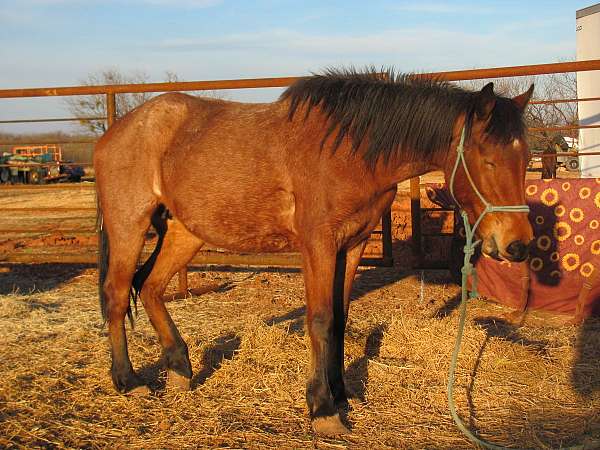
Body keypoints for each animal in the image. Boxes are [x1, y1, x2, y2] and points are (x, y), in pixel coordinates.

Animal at [94, 70, 536, 436]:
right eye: (488, 160)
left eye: (526, 159)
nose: (518, 245)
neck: (349, 151)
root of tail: (117, 131)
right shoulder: (318, 245)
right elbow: (320, 320)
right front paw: (323, 409)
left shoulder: (353, 245)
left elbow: (340, 318)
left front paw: (341, 394)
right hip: (129, 224)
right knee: (117, 294)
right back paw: (128, 382)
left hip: (185, 232)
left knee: (150, 287)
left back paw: (180, 369)